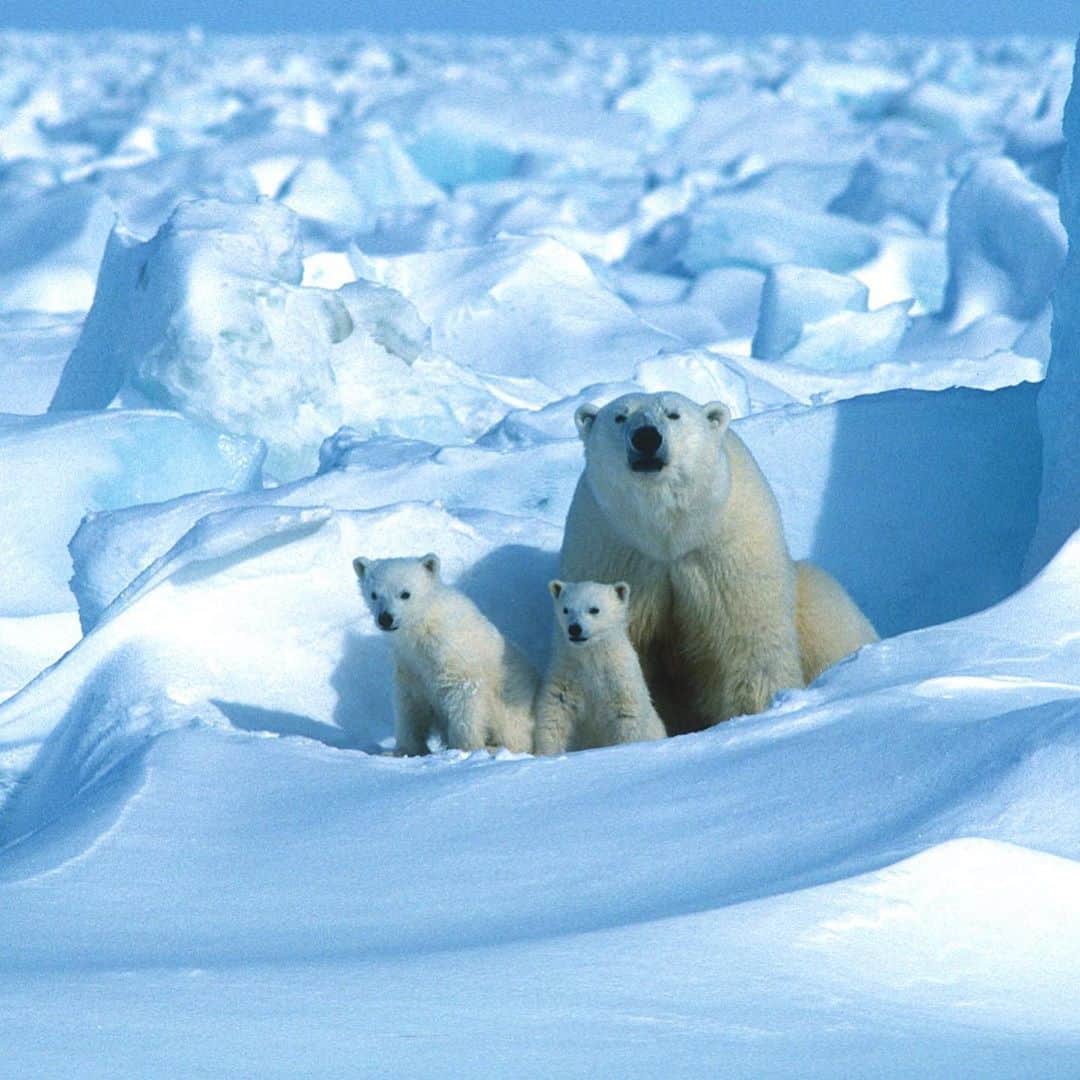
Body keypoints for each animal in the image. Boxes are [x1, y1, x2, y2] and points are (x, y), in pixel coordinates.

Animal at [353, 553, 538, 755]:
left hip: (510, 703)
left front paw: (465, 748)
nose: (385, 618)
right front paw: (403, 750)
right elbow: (410, 704)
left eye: (405, 594)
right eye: (374, 594)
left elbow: (465, 697)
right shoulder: (409, 664)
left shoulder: (454, 655)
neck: (423, 629)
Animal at [534, 579, 668, 754]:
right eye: (566, 609)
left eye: (594, 609)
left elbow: (627, 716)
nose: (574, 628)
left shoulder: (619, 680)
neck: (592, 658)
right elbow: (555, 711)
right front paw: (547, 753)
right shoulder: (566, 675)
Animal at [559, 391, 878, 735]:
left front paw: (755, 712)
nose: (646, 437)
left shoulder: (726, 550)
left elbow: (747, 641)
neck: (667, 534)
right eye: (620, 416)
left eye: (673, 414)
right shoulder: (613, 550)